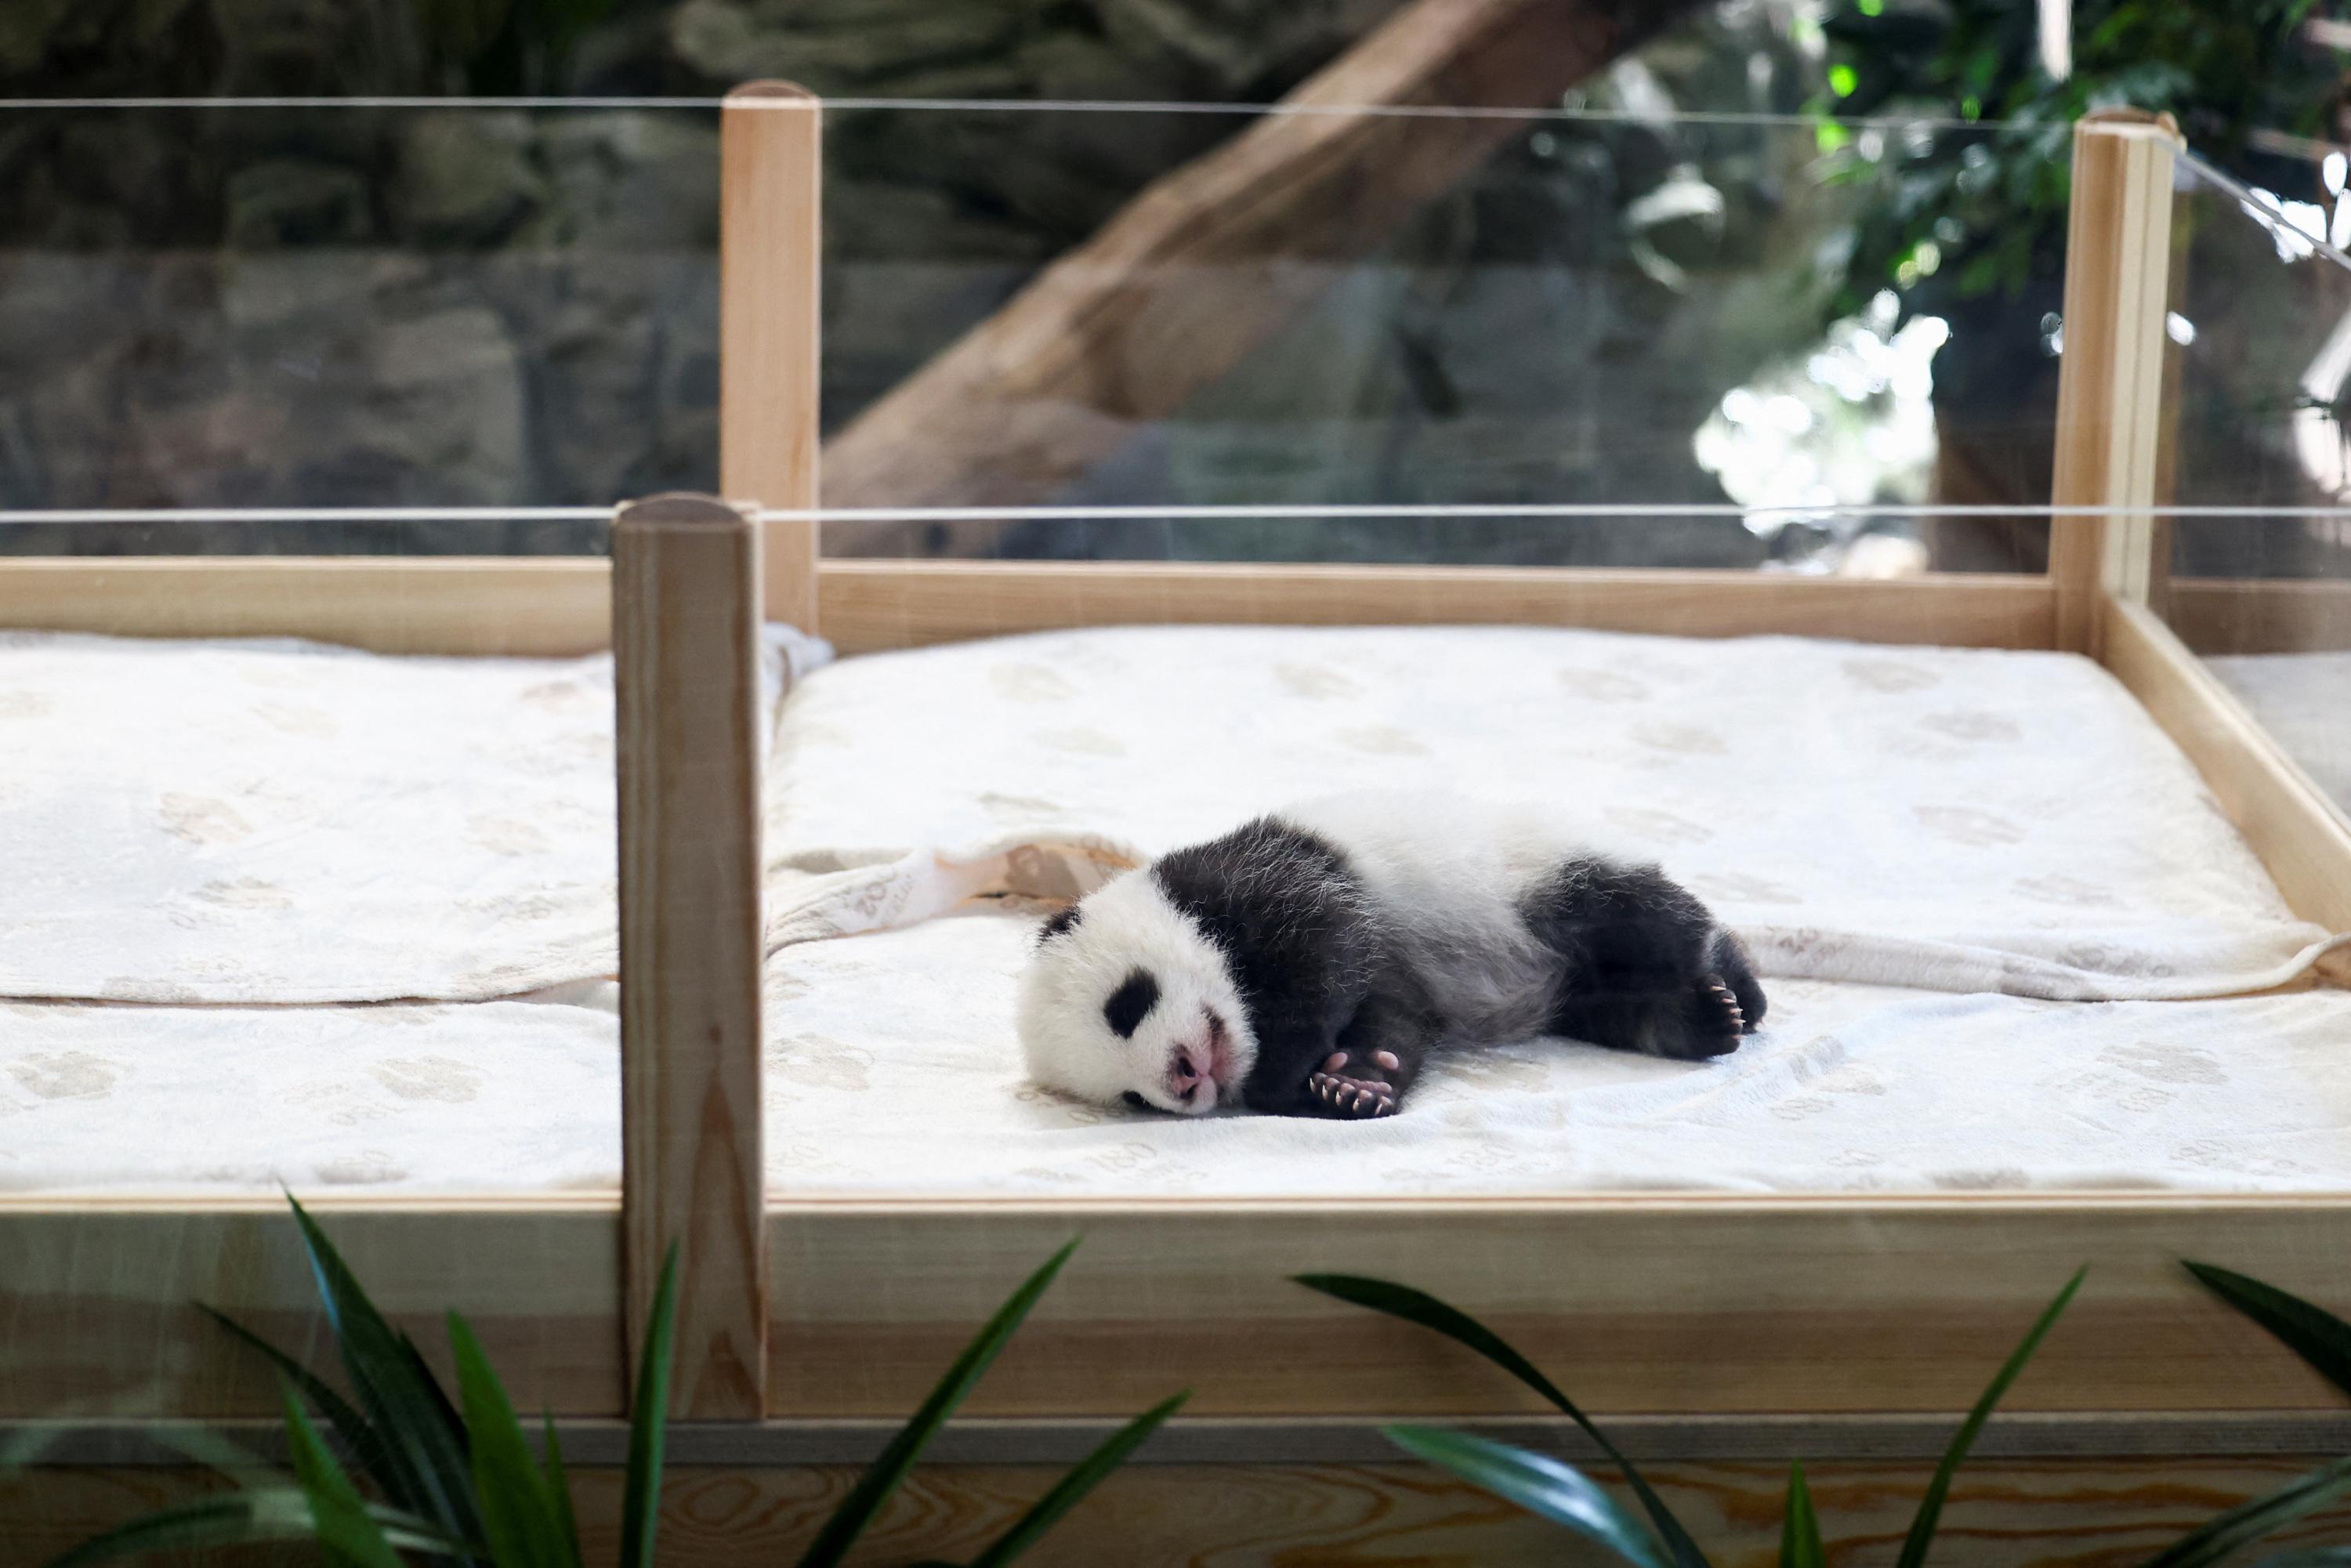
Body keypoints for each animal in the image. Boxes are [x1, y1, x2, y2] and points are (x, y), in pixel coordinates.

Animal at [1016, 799, 1768, 1114]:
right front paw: (1353, 1083)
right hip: (1575, 984)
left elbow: (1327, 942)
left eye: (1127, 1003)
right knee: (1614, 1001)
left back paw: (1734, 989)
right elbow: (1391, 1021)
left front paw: (1287, 1075)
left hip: (1539, 875)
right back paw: (1698, 1020)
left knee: (1644, 919)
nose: (1182, 1080)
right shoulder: (1396, 982)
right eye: (1131, 1098)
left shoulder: (1264, 880)